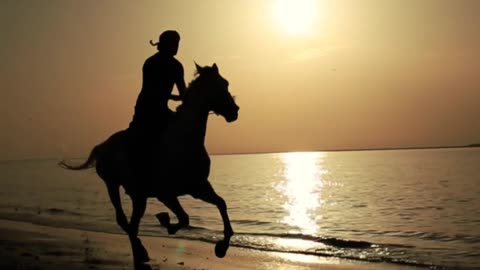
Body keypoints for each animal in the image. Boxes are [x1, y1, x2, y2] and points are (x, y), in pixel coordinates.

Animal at [60, 62, 240, 268]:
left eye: (225, 83)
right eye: (220, 85)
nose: (235, 111)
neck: (184, 140)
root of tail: (102, 146)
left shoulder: (198, 187)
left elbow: (220, 203)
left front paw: (223, 243)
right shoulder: (166, 192)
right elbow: (184, 217)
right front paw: (165, 221)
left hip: (138, 196)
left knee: (131, 224)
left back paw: (141, 251)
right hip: (113, 185)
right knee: (126, 222)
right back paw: (140, 252)